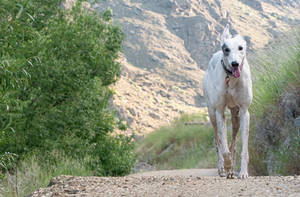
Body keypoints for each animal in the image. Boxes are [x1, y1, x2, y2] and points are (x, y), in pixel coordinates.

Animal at [203, 24, 252, 179]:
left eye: (240, 48)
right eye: (226, 49)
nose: (235, 64)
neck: (231, 79)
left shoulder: (244, 112)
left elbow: (243, 148)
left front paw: (243, 172)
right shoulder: (219, 112)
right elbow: (223, 148)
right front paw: (228, 164)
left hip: (235, 115)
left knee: (234, 141)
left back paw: (231, 170)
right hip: (212, 113)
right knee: (217, 141)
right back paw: (222, 167)